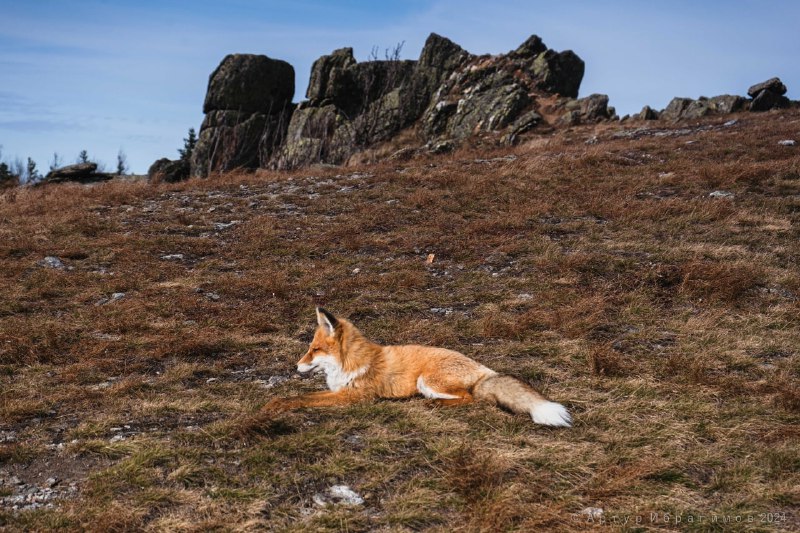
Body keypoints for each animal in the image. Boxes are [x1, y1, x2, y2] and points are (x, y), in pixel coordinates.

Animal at [266, 306, 572, 426]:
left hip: (428, 381)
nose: (296, 366)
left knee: (474, 399)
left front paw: (278, 405)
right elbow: (297, 396)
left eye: (314, 350)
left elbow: (301, 398)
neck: (349, 362)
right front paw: (275, 403)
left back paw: (433, 404)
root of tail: (485, 370)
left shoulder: (353, 396)